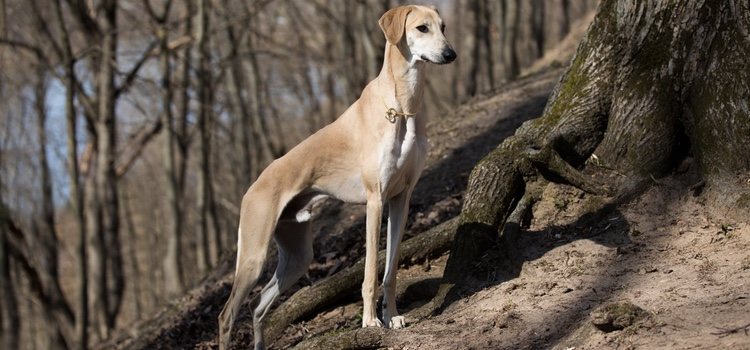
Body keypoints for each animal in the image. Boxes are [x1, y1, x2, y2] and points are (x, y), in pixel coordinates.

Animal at [214, 5, 456, 350]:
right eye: (422, 28)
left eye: (443, 27)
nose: (450, 54)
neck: (401, 106)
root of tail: (252, 187)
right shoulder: (375, 201)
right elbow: (370, 273)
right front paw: (371, 322)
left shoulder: (401, 199)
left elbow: (391, 270)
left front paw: (392, 317)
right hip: (253, 255)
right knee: (226, 315)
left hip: (298, 255)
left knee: (258, 304)